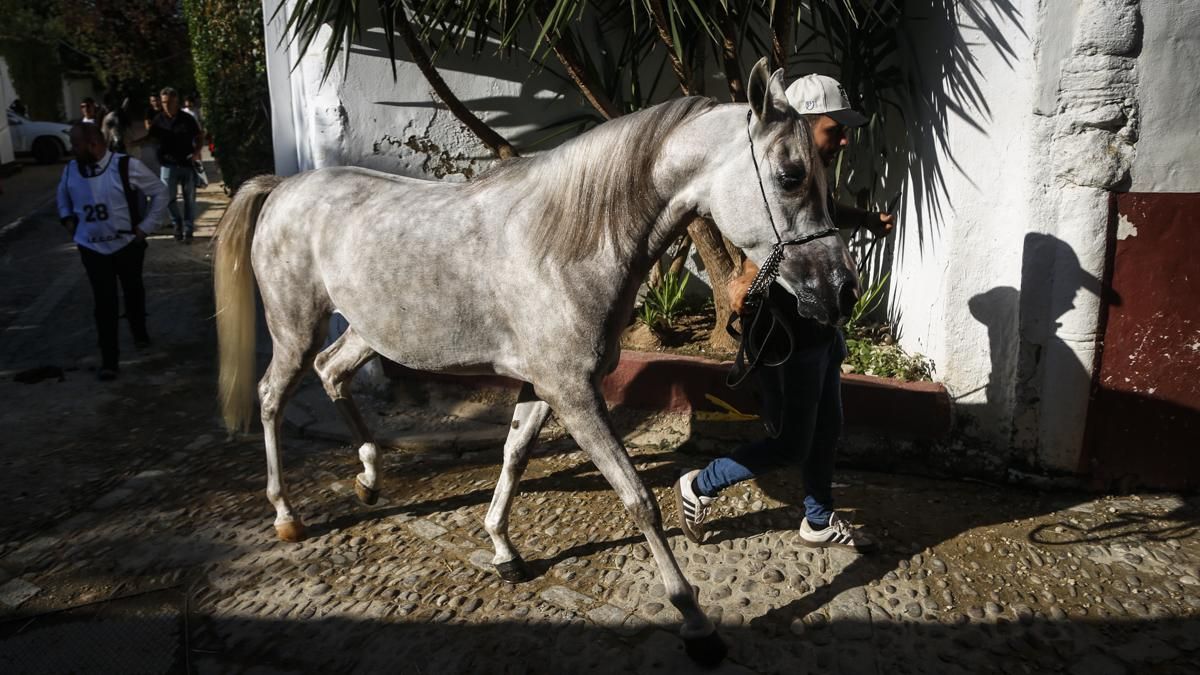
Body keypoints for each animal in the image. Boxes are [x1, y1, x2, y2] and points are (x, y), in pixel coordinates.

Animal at [213, 59, 858, 665]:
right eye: (791, 176)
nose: (841, 291)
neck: (565, 244)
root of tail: (283, 188)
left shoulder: (543, 386)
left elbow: (514, 456)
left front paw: (502, 549)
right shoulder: (573, 392)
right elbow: (637, 499)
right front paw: (694, 622)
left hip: (366, 331)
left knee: (332, 372)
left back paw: (370, 480)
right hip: (294, 328)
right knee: (271, 397)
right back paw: (285, 513)